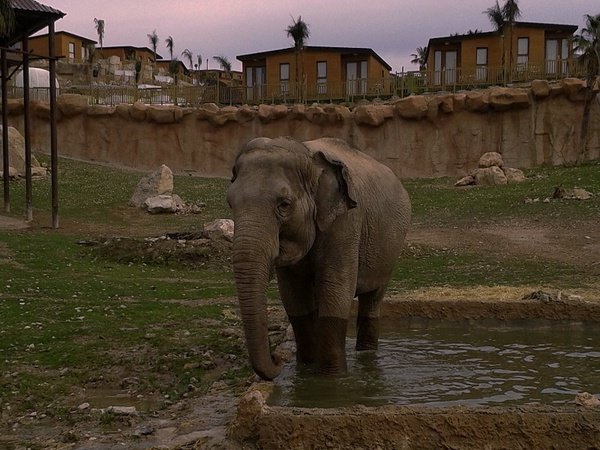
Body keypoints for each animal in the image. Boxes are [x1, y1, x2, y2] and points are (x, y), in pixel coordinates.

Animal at [227, 136, 410, 380]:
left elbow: (335, 289)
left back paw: (366, 356)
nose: (277, 359)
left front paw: (331, 378)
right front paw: (305, 371)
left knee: (373, 299)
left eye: (284, 204)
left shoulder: (346, 223)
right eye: (230, 203)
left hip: (389, 251)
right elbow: (294, 296)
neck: (309, 159)